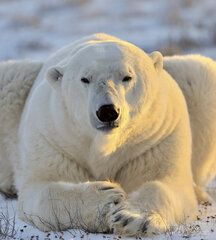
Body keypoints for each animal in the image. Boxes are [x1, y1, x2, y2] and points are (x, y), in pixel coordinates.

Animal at [0, 34, 215, 238]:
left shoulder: (157, 137)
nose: (107, 111)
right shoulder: (53, 138)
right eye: (85, 79)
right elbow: (42, 189)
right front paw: (106, 198)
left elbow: (166, 183)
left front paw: (132, 218)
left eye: (127, 77)